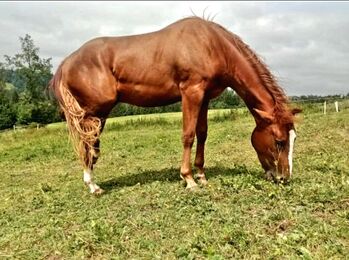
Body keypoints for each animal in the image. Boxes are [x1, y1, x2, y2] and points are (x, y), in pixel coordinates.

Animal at [49, 17, 300, 194]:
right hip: (95, 113)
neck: (211, 45)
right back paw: (93, 186)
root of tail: (66, 62)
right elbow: (188, 135)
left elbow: (202, 134)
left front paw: (201, 175)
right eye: (279, 141)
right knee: (89, 145)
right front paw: (188, 179)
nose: (284, 177)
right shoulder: (191, 93)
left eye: (294, 138)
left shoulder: (204, 98)